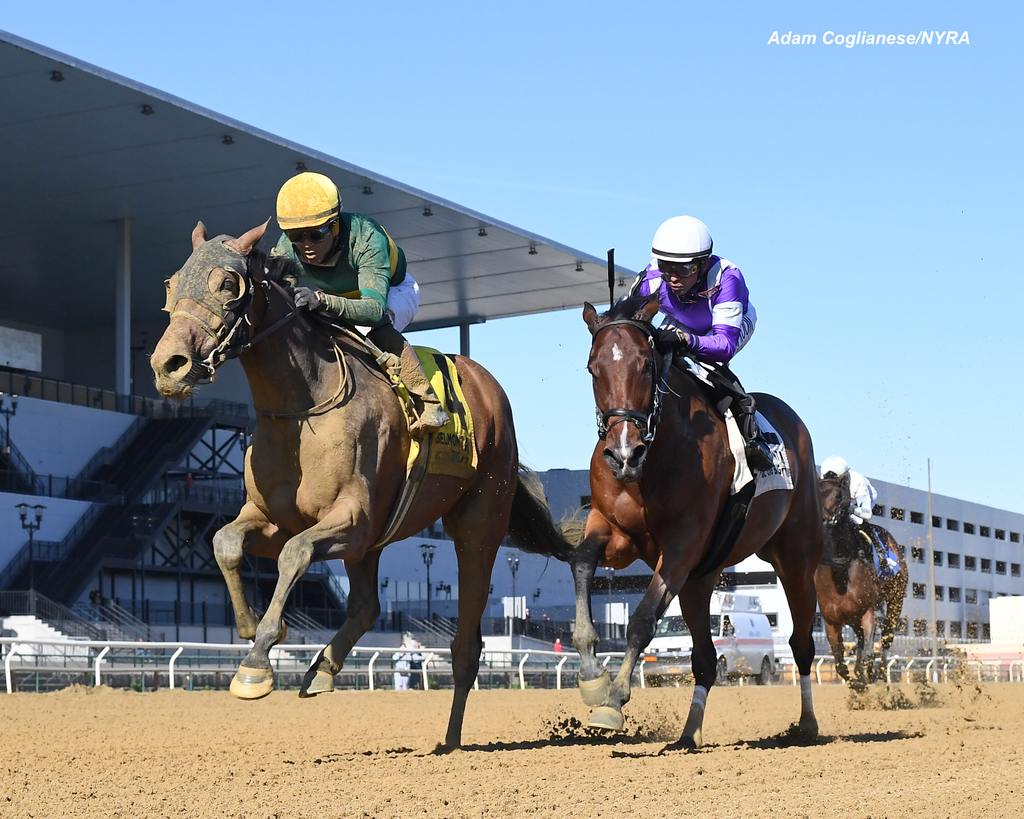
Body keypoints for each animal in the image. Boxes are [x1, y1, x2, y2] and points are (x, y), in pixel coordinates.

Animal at [149, 222, 577, 749]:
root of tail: (490, 389)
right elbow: (225, 541)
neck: (303, 406)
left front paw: (257, 663)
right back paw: (323, 670)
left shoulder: (351, 519)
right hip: (374, 543)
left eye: (227, 283)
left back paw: (451, 740)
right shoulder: (272, 517)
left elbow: (294, 553)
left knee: (466, 641)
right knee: (369, 606)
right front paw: (253, 629)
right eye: (170, 284)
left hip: (478, 523)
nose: (167, 365)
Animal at [573, 296, 827, 749]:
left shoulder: (681, 546)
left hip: (795, 559)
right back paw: (688, 734)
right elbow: (582, 562)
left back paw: (806, 725)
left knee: (800, 644)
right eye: (593, 368)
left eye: (646, 365)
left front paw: (614, 699)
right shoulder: (612, 530)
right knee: (706, 659)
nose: (623, 454)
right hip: (700, 578)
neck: (655, 459)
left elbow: (642, 619)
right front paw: (591, 676)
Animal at [819, 472, 909, 683]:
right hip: (853, 619)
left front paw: (866, 675)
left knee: (886, 639)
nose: (823, 522)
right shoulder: (831, 620)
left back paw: (881, 672)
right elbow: (840, 663)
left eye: (838, 496)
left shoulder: (868, 611)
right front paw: (856, 680)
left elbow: (867, 653)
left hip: (896, 599)